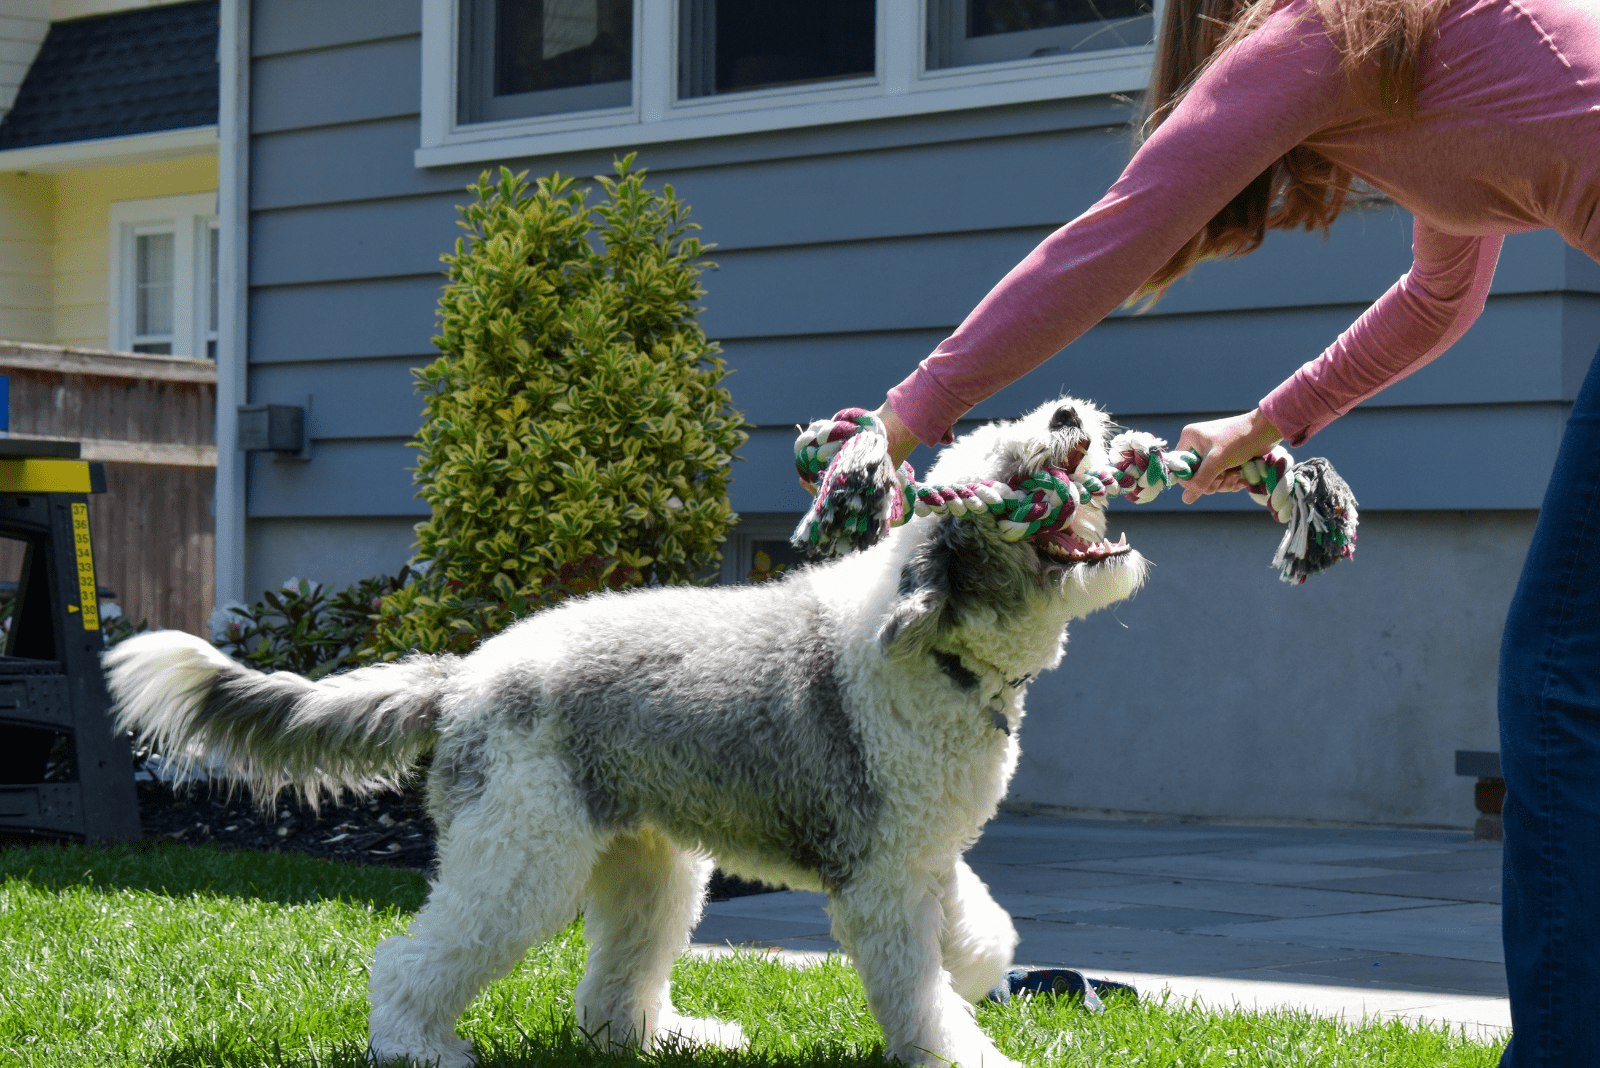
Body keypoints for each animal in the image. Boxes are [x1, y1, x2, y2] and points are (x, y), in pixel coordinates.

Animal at [106, 394, 1145, 1068]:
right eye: (1004, 464)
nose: (1066, 413)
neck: (944, 649)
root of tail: (463, 676)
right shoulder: (882, 877)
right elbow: (917, 996)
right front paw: (965, 1051)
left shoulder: (920, 853)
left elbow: (980, 929)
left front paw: (980, 968)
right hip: (522, 855)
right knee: (411, 959)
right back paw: (417, 1048)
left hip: (651, 861)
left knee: (610, 992)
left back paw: (674, 1038)